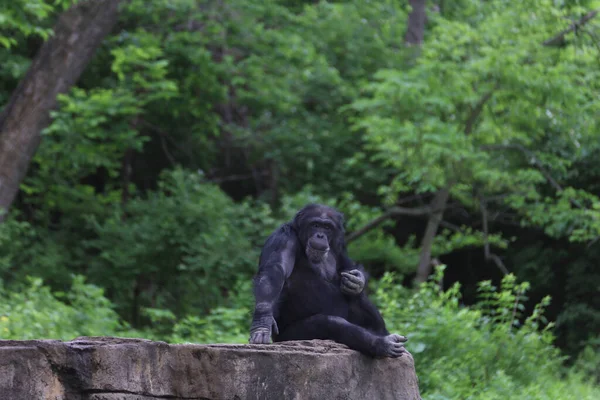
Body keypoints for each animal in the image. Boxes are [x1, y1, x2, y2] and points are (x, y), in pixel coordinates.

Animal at [248, 205, 408, 358]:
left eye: (327, 227)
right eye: (315, 225)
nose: (320, 235)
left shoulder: (339, 245)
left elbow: (347, 266)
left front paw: (358, 280)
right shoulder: (283, 239)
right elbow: (274, 272)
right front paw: (262, 323)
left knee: (355, 296)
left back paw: (384, 334)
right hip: (290, 336)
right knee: (331, 323)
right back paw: (381, 344)